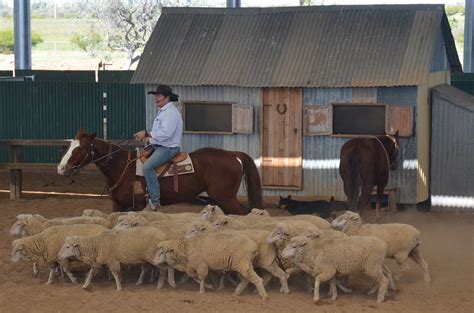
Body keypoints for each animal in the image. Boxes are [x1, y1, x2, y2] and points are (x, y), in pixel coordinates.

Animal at [57, 128, 262, 213]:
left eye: (80, 148)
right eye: (69, 146)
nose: (61, 168)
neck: (122, 166)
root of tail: (232, 154)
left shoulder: (137, 206)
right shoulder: (118, 205)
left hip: (226, 198)